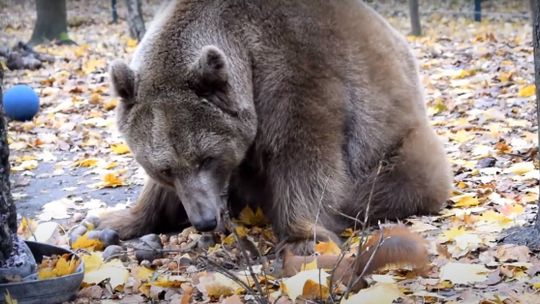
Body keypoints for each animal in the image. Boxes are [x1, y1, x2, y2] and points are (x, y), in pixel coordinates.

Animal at [100, 0, 452, 252]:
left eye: (207, 158)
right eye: (164, 169)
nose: (204, 219)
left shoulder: (296, 71)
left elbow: (304, 157)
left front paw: (304, 239)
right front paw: (112, 221)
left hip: (396, 138)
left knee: (402, 178)